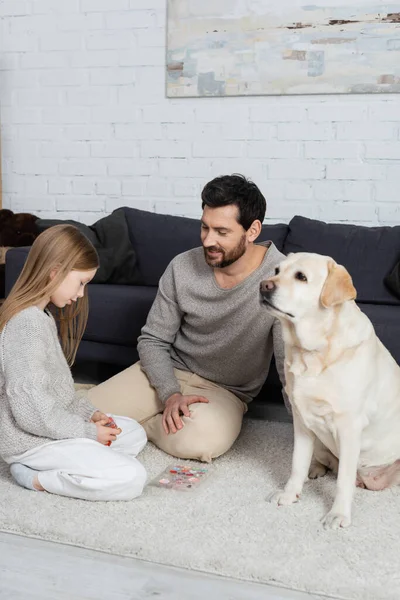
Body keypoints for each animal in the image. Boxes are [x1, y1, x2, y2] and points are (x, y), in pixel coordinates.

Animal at [260, 253, 400, 528]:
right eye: (276, 270)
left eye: (301, 277)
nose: (263, 285)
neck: (312, 353)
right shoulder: (301, 420)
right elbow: (297, 464)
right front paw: (290, 494)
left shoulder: (349, 427)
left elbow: (344, 480)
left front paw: (338, 514)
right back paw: (316, 469)